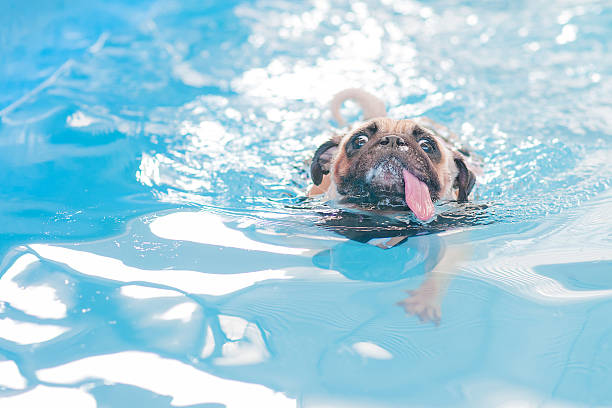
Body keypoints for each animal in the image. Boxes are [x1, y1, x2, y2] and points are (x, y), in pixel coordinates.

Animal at [308, 88, 480, 322]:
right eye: (359, 140)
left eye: (427, 145)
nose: (392, 140)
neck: (386, 214)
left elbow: (440, 270)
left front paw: (425, 299)